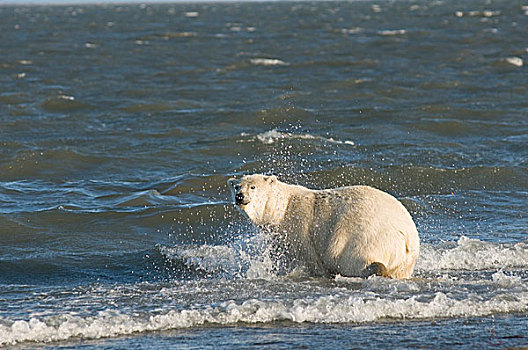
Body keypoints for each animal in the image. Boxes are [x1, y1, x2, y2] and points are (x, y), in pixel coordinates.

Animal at [229, 175, 418, 278]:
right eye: (237, 186)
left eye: (253, 187)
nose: (240, 196)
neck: (282, 208)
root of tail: (406, 237)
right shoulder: (278, 234)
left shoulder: (299, 228)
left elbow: (304, 257)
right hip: (405, 262)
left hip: (362, 238)